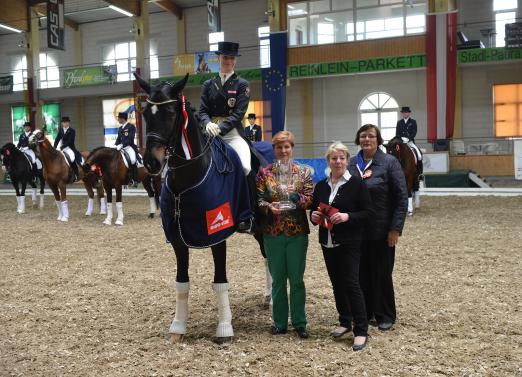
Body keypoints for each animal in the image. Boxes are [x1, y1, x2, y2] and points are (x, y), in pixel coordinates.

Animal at [134, 72, 268, 344]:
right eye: (144, 113)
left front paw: (225, 328)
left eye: (171, 112)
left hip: (262, 224)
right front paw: (178, 327)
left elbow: (220, 281)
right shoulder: (177, 238)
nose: (151, 162)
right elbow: (181, 282)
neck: (188, 178)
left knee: (269, 256)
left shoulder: (217, 234)